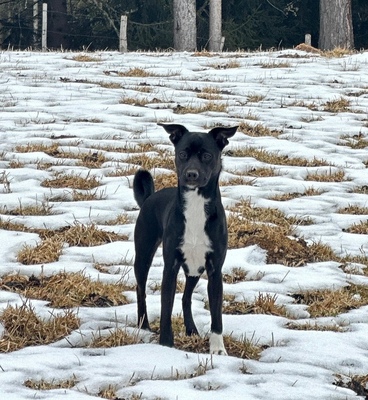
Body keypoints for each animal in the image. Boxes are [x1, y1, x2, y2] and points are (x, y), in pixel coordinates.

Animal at [134, 123, 237, 354]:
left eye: (207, 155)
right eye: (182, 154)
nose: (191, 174)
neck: (196, 204)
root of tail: (149, 197)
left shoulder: (214, 270)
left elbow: (216, 315)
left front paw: (217, 349)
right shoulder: (170, 268)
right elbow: (165, 309)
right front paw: (166, 344)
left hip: (194, 268)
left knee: (186, 297)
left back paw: (191, 329)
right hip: (143, 255)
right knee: (141, 290)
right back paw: (143, 325)